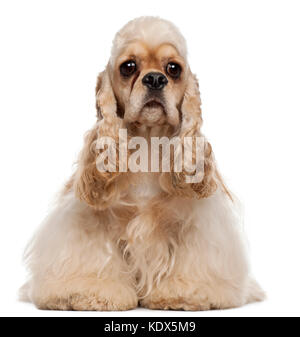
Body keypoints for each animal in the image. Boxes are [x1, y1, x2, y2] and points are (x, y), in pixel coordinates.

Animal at [20, 15, 264, 310]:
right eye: (128, 67)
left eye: (173, 68)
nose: (155, 79)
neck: (148, 143)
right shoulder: (91, 223)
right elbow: (95, 262)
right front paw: (88, 293)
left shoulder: (194, 225)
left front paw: (182, 294)